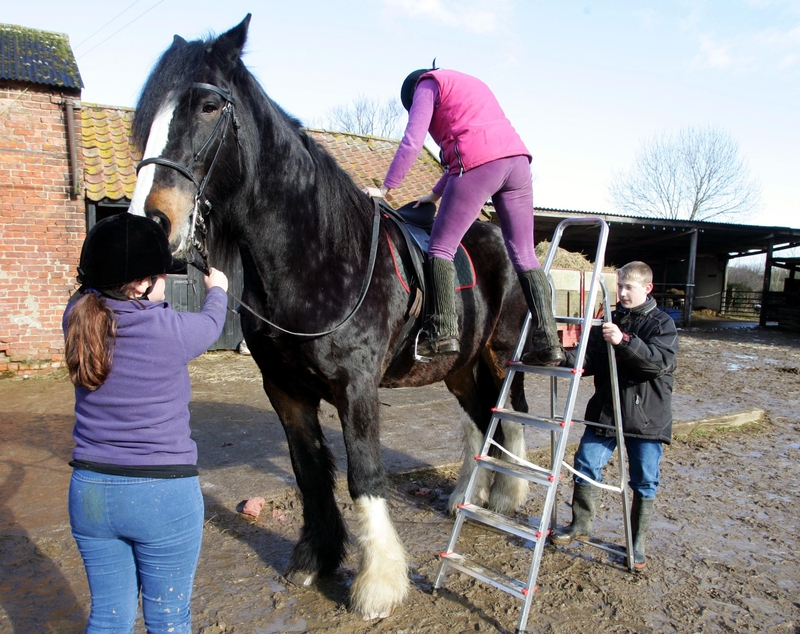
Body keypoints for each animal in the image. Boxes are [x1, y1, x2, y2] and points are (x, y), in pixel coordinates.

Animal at [130, 13, 532, 616]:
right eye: (149, 112)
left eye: (207, 105)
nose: (151, 223)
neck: (318, 256)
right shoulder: (285, 390)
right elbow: (311, 472)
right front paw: (314, 558)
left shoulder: (356, 388)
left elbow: (364, 475)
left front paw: (379, 585)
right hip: (459, 368)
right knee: (482, 423)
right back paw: (469, 497)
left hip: (502, 358)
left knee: (506, 420)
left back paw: (509, 496)